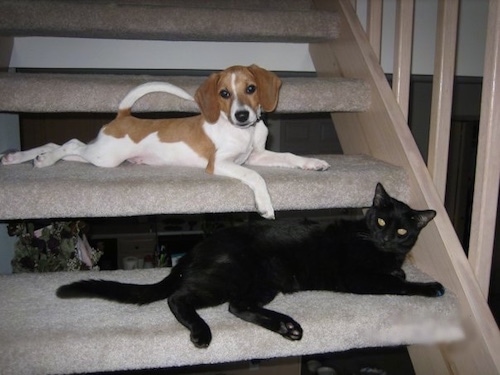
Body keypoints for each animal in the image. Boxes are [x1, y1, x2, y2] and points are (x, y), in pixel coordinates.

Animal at [1, 64, 330, 217]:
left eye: (251, 88)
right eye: (224, 93)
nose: (241, 115)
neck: (243, 132)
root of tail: (124, 115)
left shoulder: (256, 155)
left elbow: (288, 156)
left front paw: (313, 163)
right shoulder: (221, 163)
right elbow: (256, 177)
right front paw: (265, 205)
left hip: (100, 154)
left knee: (58, 146)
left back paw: (25, 158)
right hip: (104, 157)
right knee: (68, 143)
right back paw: (37, 159)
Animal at [56, 184, 444, 348]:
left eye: (402, 231)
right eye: (380, 221)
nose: (386, 239)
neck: (378, 249)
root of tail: (197, 247)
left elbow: (397, 273)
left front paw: (401, 268)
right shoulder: (360, 278)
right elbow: (399, 284)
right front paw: (430, 286)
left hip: (264, 282)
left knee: (238, 306)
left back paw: (287, 326)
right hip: (231, 275)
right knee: (179, 299)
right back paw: (202, 333)